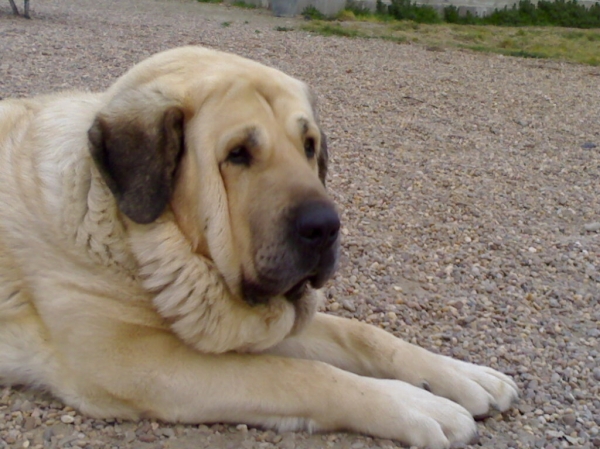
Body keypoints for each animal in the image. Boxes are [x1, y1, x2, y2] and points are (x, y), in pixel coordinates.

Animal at [0, 47, 516, 446]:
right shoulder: (136, 363)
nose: (326, 227)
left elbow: (364, 334)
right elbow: (298, 374)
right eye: (237, 155)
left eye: (309, 145)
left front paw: (460, 375)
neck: (137, 241)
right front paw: (415, 404)